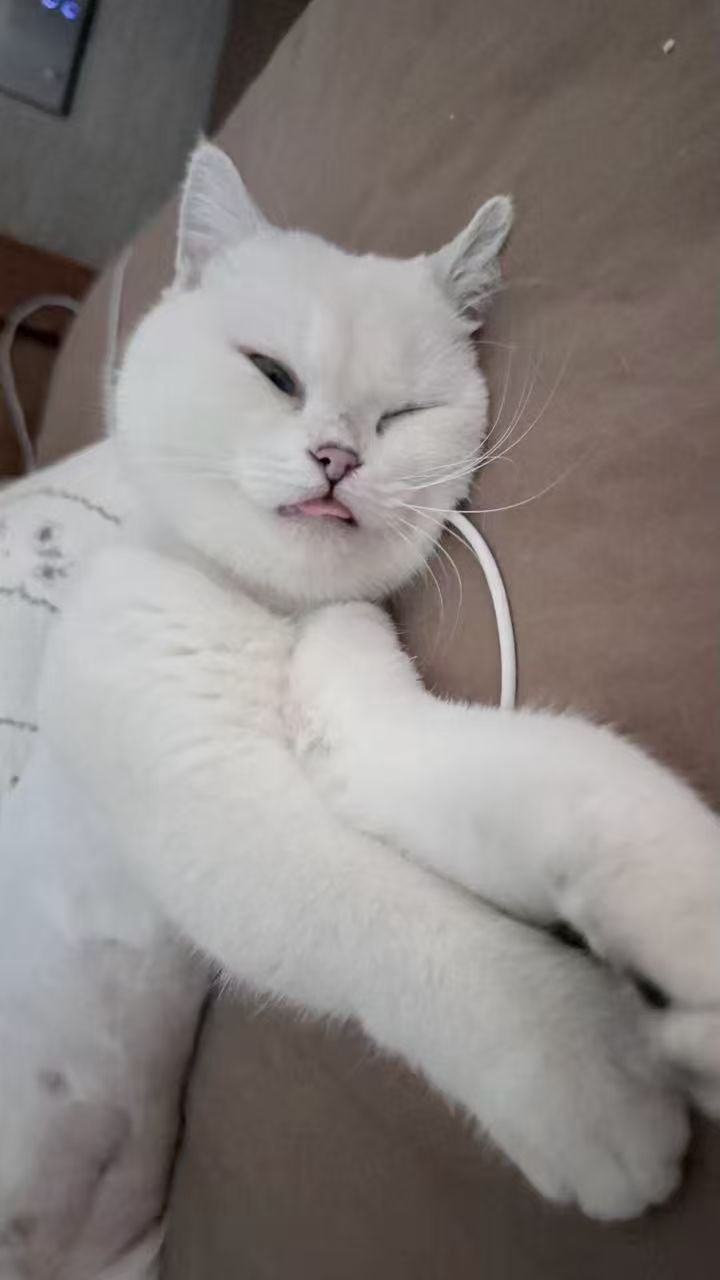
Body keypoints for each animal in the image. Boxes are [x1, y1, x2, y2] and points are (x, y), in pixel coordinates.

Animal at [3, 142, 719, 1275]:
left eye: (403, 413)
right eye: (271, 373)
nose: (338, 455)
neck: (272, 615)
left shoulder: (373, 739)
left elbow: (544, 773)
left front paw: (680, 908)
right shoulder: (223, 818)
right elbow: (410, 927)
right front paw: (591, 1073)